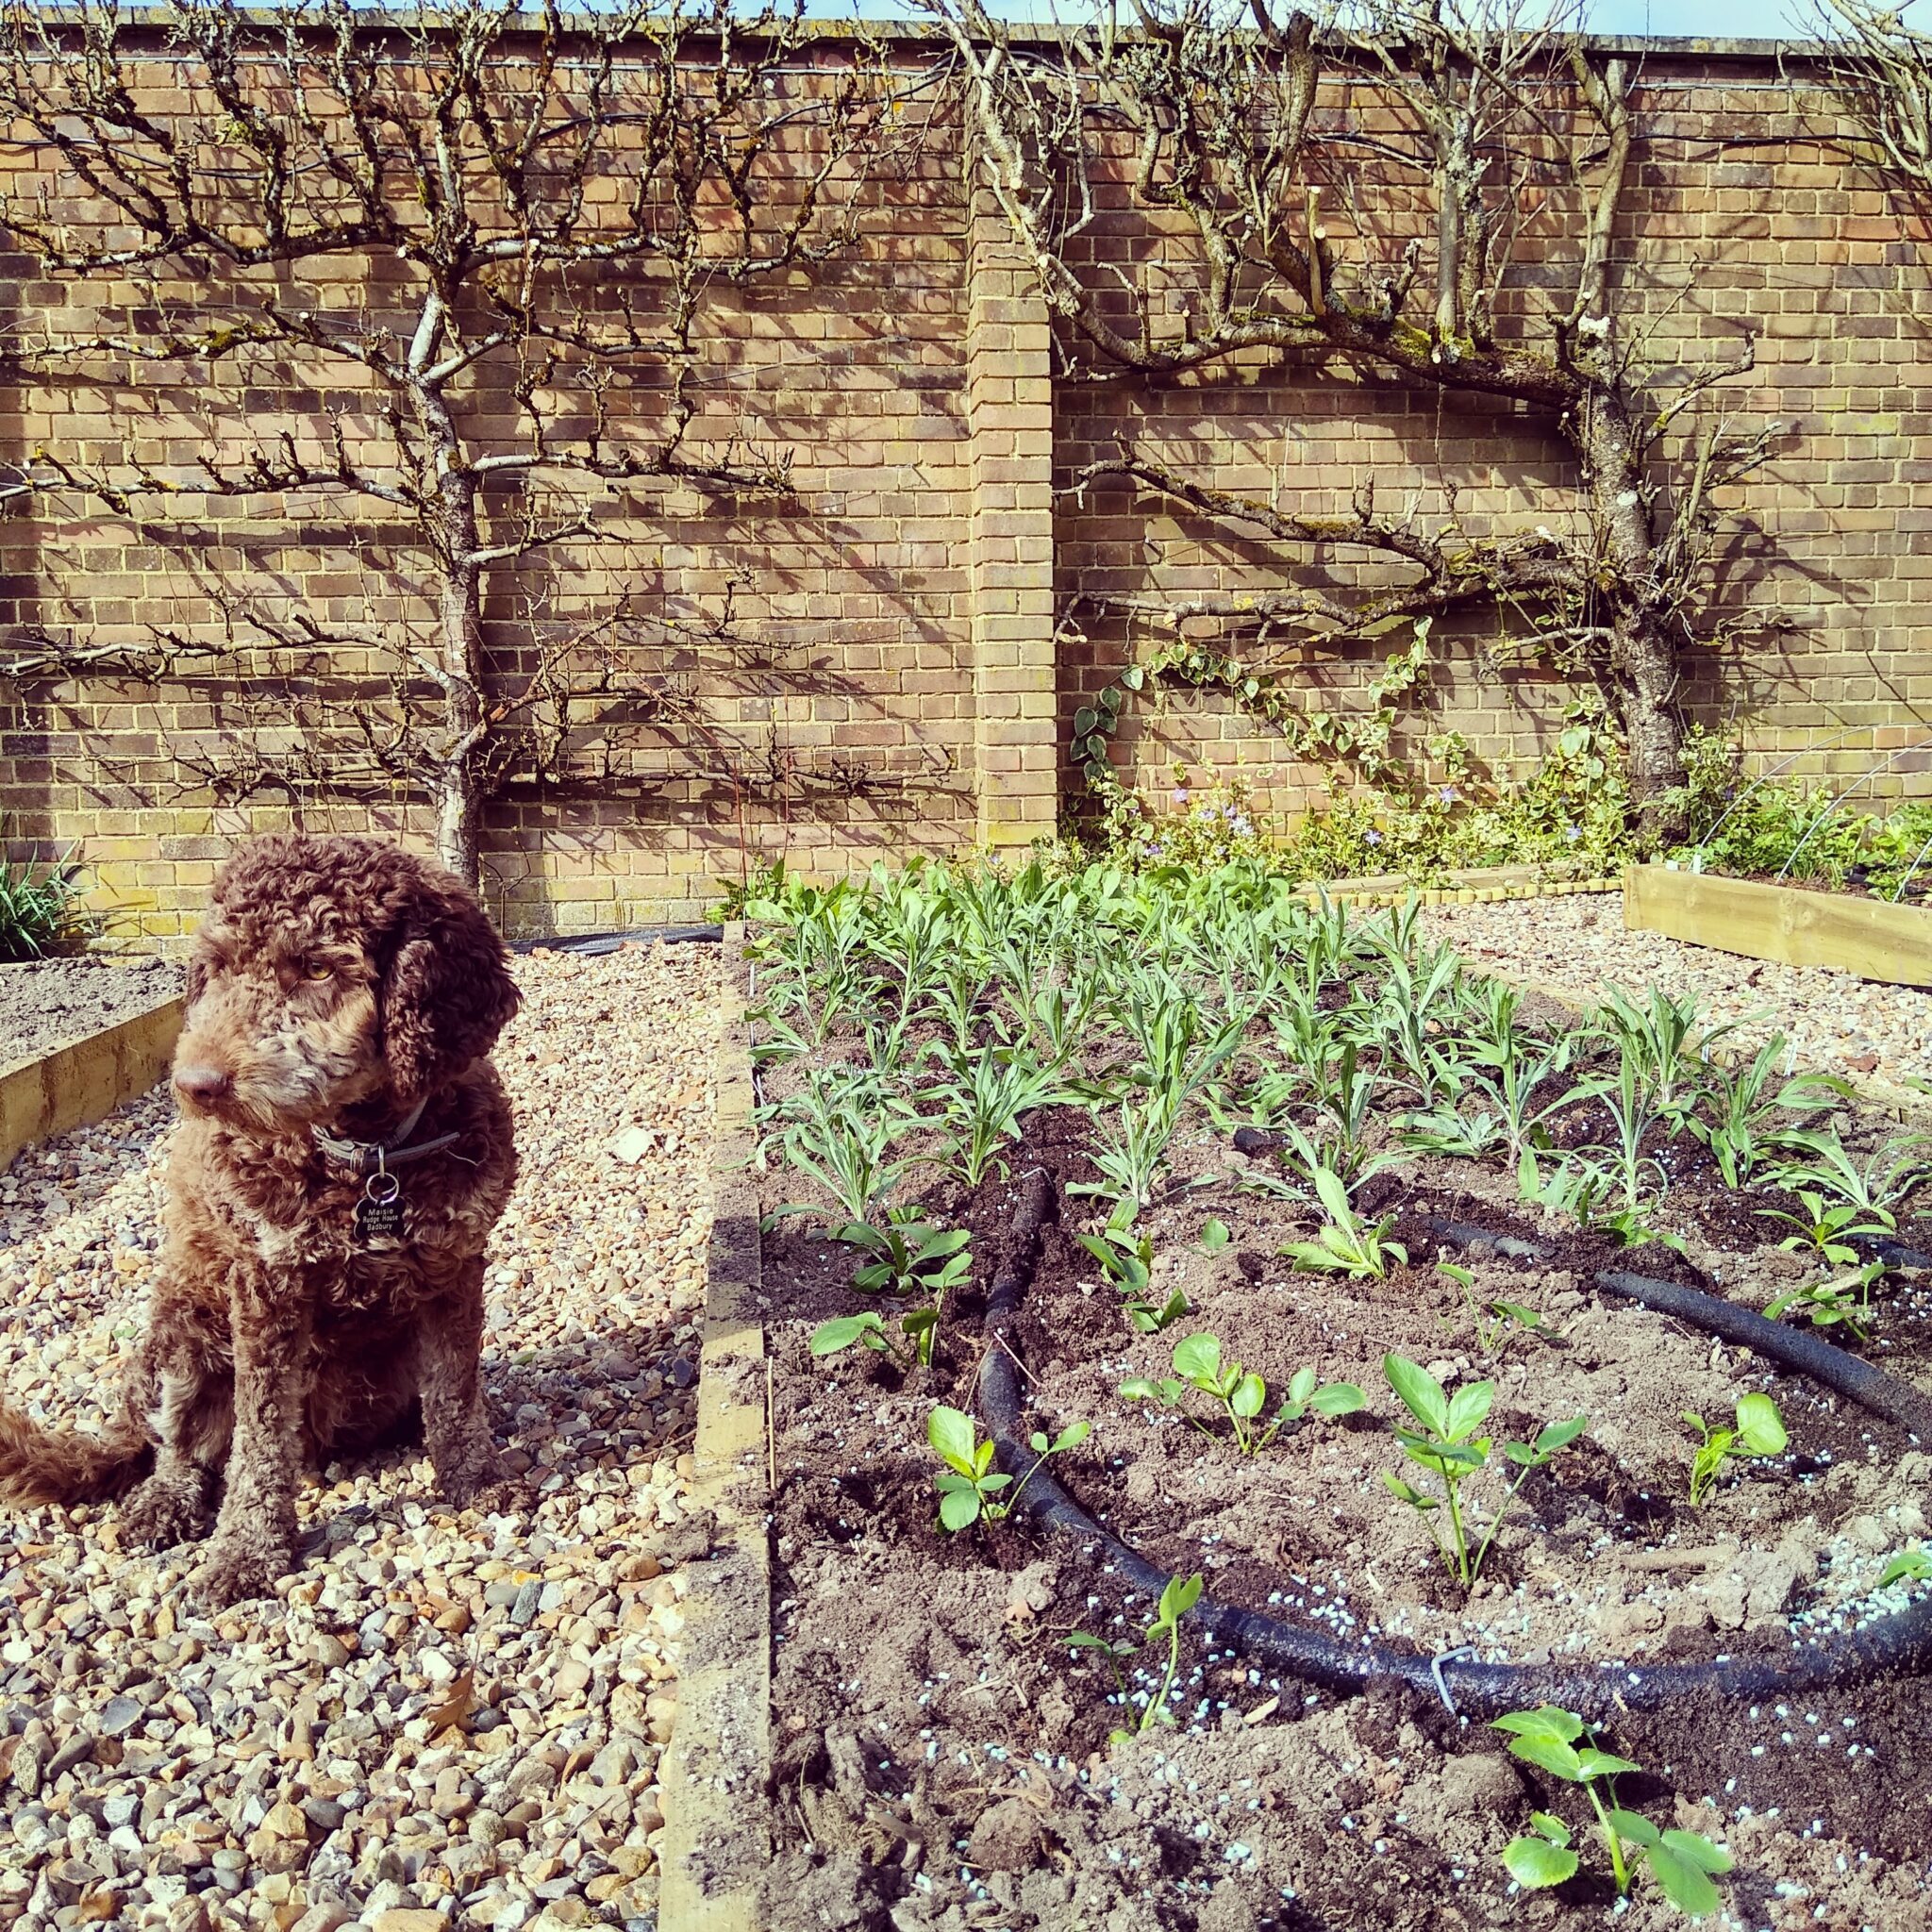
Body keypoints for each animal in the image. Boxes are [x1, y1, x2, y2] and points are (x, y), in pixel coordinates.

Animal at [0, 832, 520, 1606]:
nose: (196, 1086)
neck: (367, 1157)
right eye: (217, 968)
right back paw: (164, 1502)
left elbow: (455, 1389)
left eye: (316, 967)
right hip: (182, 1331)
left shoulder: (453, 1264)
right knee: (181, 1447)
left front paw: (475, 1477)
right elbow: (260, 1440)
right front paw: (247, 1549)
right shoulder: (266, 1286)